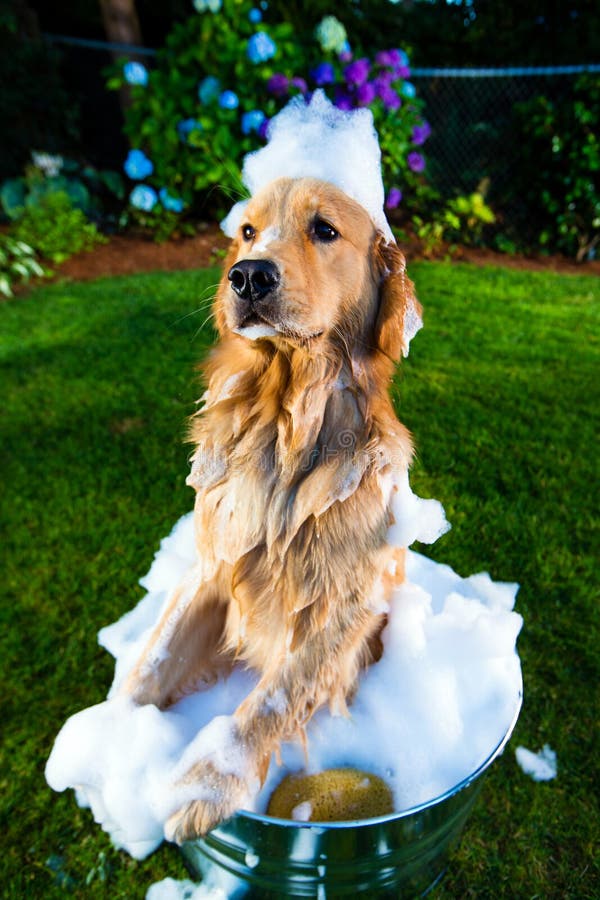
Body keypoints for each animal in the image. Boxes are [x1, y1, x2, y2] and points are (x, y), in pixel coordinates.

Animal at [122, 178, 422, 844]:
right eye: (247, 232)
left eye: (325, 229)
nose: (248, 277)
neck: (288, 420)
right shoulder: (216, 564)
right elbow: (153, 665)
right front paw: (108, 740)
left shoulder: (341, 604)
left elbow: (271, 699)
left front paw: (206, 786)